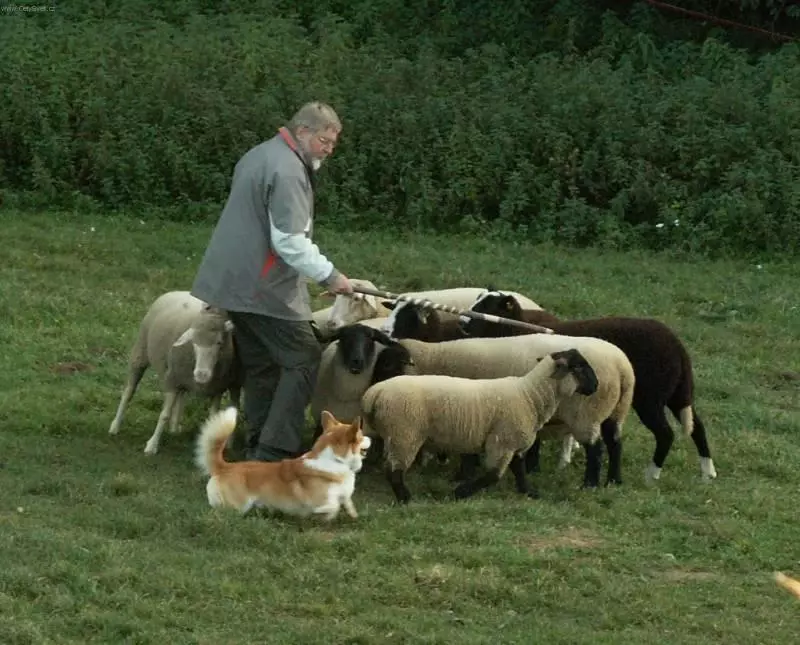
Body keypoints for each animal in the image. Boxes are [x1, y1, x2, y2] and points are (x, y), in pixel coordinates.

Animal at [108, 290, 242, 456]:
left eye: (219, 342)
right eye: (193, 343)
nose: (201, 374)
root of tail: (178, 292)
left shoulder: (216, 389)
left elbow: (213, 417)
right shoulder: (172, 380)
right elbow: (164, 414)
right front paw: (152, 446)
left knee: (181, 396)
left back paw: (174, 428)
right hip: (141, 352)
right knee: (129, 391)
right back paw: (115, 426)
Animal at [194, 406, 372, 520]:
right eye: (361, 435)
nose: (370, 438)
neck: (335, 460)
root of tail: (224, 466)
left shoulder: (344, 495)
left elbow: (347, 502)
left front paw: (353, 515)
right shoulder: (319, 500)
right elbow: (332, 506)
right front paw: (324, 515)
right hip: (237, 506)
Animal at [334, 328, 636, 488]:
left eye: (386, 364)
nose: (367, 392)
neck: (434, 358)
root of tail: (623, 366)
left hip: (586, 412)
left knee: (596, 447)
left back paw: (590, 483)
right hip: (615, 411)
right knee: (616, 443)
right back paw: (614, 480)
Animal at [362, 348, 600, 504]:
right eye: (579, 367)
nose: (596, 386)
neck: (530, 395)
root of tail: (374, 393)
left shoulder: (513, 442)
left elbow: (519, 470)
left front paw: (529, 492)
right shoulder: (502, 440)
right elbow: (493, 475)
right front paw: (460, 492)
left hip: (395, 434)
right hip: (405, 434)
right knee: (394, 470)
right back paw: (405, 498)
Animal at [462, 292, 720, 484]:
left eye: (487, 308)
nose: (463, 324)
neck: (516, 329)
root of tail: (677, 345)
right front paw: (562, 459)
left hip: (650, 397)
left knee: (665, 433)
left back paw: (651, 475)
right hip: (677, 393)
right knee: (697, 426)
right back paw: (707, 472)